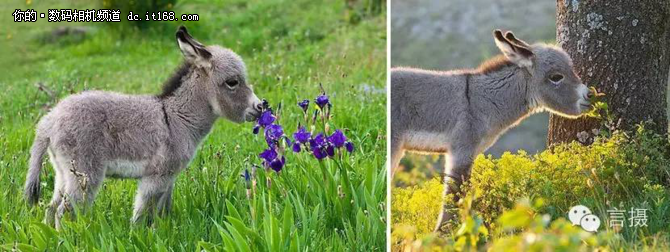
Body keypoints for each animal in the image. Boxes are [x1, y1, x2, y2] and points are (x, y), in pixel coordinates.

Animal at [25, 26, 264, 228]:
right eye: (232, 82)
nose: (261, 106)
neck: (176, 118)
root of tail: (49, 120)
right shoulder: (156, 177)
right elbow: (142, 215)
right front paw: (138, 235)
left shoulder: (169, 178)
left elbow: (162, 211)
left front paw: (162, 231)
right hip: (85, 173)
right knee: (64, 212)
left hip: (62, 172)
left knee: (51, 209)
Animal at [394, 30, 592, 232]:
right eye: (556, 77)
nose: (590, 95)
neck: (479, 101)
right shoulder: (461, 150)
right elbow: (454, 195)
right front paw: (444, 234)